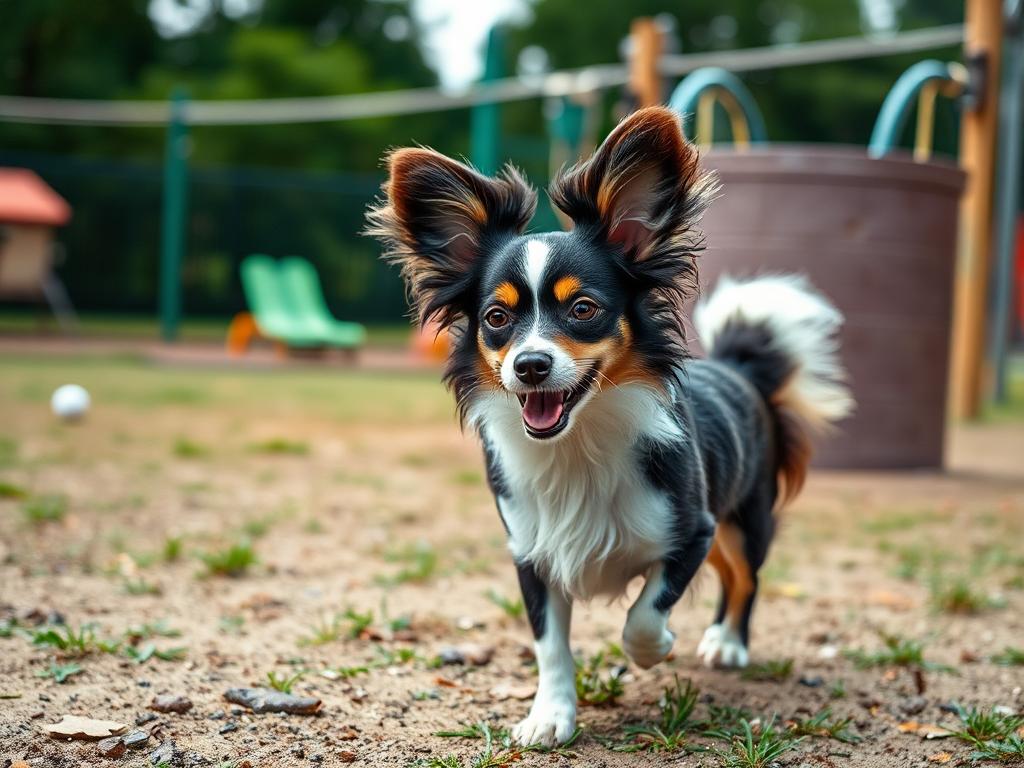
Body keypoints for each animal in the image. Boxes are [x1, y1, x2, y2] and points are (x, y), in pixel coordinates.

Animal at [364, 107, 851, 745]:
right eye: (496, 318)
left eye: (584, 310)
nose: (530, 364)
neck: (579, 442)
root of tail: (739, 367)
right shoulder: (533, 553)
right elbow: (550, 646)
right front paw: (550, 715)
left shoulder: (691, 531)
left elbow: (642, 617)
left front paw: (657, 647)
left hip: (744, 520)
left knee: (746, 577)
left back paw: (727, 642)